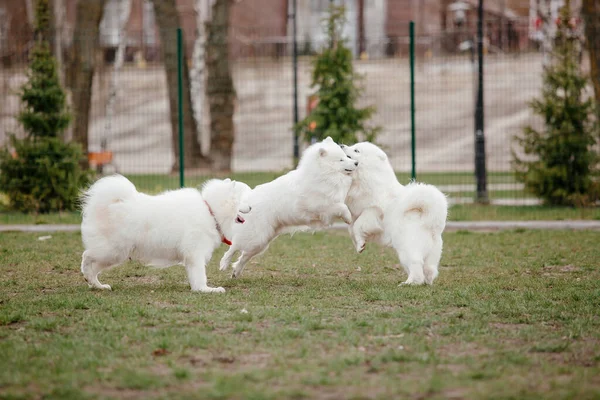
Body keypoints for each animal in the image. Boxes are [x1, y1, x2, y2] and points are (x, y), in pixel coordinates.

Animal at [79, 175, 251, 294]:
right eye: (243, 199)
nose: (251, 207)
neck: (211, 210)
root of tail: (112, 202)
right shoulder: (195, 253)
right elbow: (200, 275)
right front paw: (207, 289)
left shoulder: (191, 257)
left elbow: (195, 277)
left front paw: (199, 289)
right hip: (113, 251)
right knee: (86, 256)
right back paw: (88, 274)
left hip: (115, 255)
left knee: (94, 269)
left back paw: (97, 285)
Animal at [340, 142, 448, 286]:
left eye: (356, 150)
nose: (341, 145)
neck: (368, 176)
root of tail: (430, 223)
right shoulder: (355, 214)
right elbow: (351, 230)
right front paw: (359, 246)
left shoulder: (372, 211)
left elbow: (359, 225)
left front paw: (361, 244)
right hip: (431, 254)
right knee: (429, 269)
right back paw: (426, 281)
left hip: (407, 250)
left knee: (416, 267)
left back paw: (408, 283)